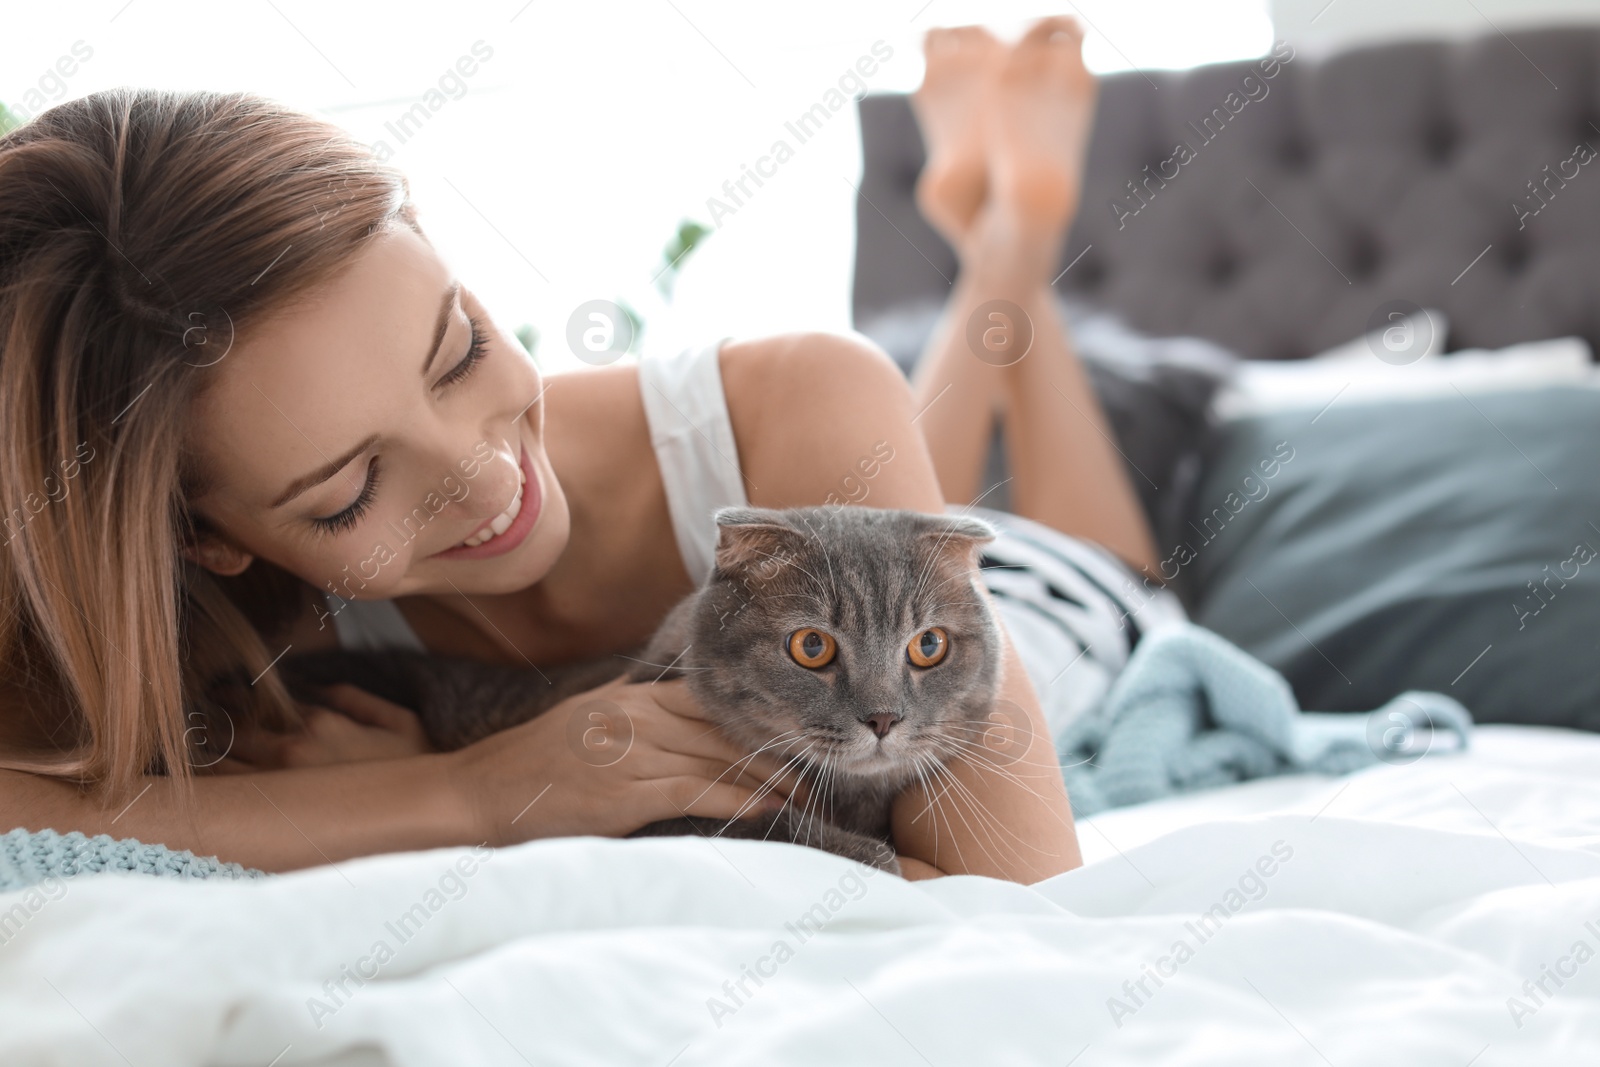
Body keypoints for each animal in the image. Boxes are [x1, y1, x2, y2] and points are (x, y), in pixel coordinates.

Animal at [278, 505, 998, 870]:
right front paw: (865, 851)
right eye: (811, 647)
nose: (883, 718)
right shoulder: (653, 816)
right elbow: (770, 825)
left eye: (928, 646)